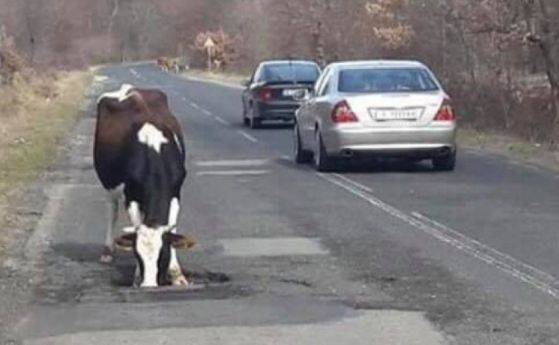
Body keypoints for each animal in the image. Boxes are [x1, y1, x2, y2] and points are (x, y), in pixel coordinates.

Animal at [94, 84, 195, 288]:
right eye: (137, 255)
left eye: (163, 255)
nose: (148, 285)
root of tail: (129, 88)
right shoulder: (131, 198)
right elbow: (135, 224)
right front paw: (137, 276)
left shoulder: (175, 194)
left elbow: (172, 230)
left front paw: (177, 274)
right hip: (109, 184)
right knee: (112, 210)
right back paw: (107, 251)